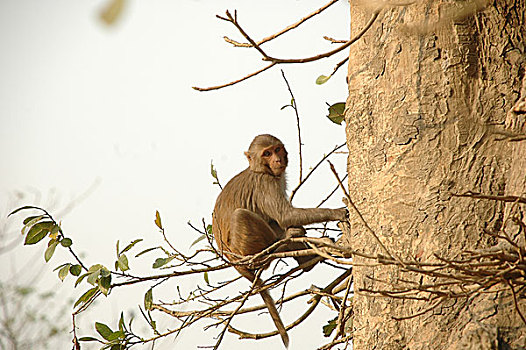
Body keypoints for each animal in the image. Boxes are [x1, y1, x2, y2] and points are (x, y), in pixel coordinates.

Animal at [212, 134, 348, 348]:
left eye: (276, 150)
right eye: (266, 153)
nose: (277, 160)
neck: (260, 169)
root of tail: (234, 262)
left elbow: (281, 218)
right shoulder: (266, 182)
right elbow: (285, 216)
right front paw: (336, 212)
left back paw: (305, 258)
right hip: (246, 251)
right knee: (241, 216)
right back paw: (281, 243)